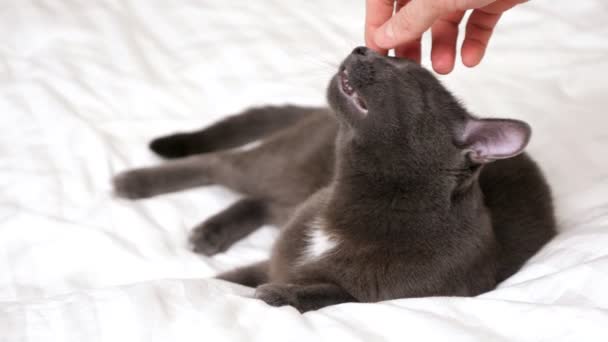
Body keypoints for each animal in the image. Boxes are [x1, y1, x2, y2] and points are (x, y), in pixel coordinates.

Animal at [113, 46, 556, 312]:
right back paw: (134, 183)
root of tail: (315, 112)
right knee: (219, 163)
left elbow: (332, 293)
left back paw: (208, 231)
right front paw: (234, 284)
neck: (350, 200)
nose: (363, 47)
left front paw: (278, 294)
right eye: (393, 54)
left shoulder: (412, 292)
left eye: (405, 72)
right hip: (281, 166)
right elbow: (243, 274)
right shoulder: (285, 249)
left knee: (259, 198)